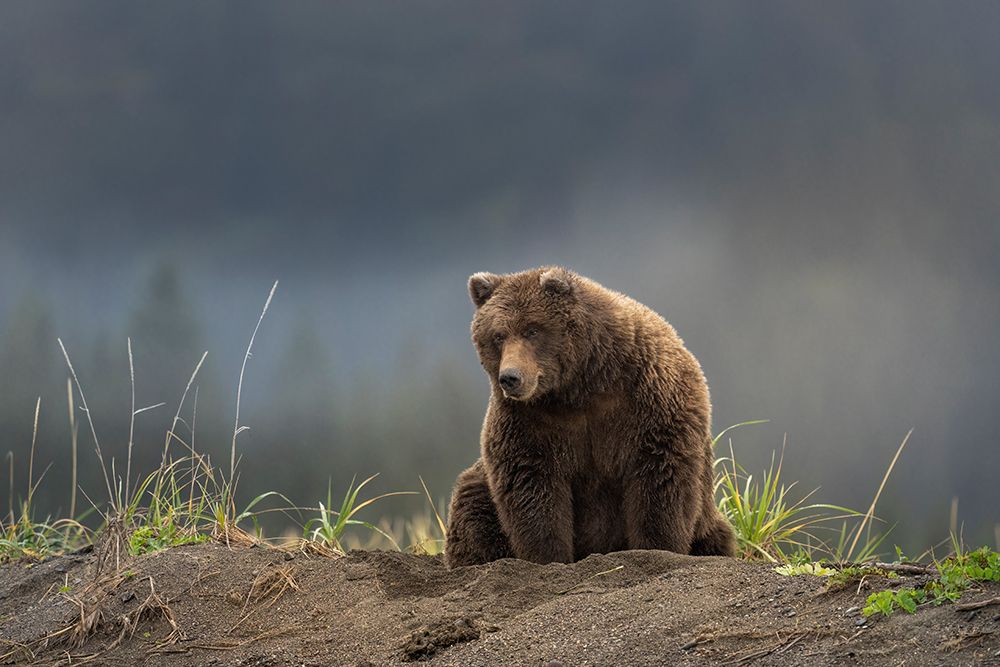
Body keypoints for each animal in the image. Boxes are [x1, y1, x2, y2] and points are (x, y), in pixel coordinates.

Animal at [444, 266, 736, 567]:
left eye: (532, 330)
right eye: (498, 335)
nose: (510, 377)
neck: (580, 386)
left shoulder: (649, 398)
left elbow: (661, 477)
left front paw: (657, 548)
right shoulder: (530, 421)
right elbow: (532, 485)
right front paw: (549, 557)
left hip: (708, 518)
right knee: (472, 502)